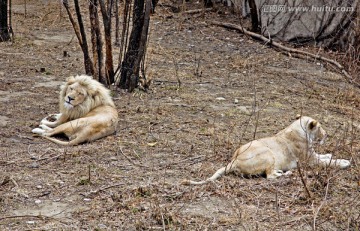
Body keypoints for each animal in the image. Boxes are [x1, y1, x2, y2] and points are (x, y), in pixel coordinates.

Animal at [181, 115, 350, 186]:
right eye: (320, 127)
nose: (327, 134)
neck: (299, 129)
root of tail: (233, 161)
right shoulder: (310, 160)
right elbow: (329, 162)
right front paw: (344, 162)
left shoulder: (313, 155)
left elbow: (326, 156)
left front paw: (331, 154)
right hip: (268, 153)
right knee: (269, 176)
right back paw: (287, 174)